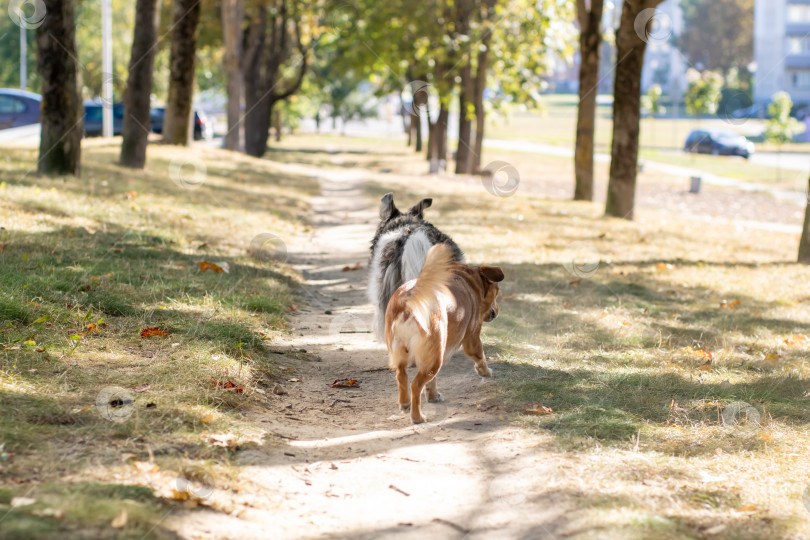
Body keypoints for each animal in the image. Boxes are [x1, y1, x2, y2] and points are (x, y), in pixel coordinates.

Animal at [384, 243, 502, 424]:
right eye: (497, 291)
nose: (497, 311)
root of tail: (408, 299)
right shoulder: (472, 337)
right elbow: (480, 356)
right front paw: (485, 372)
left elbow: (432, 382)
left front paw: (433, 395)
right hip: (435, 357)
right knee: (415, 385)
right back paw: (417, 417)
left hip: (405, 352)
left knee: (401, 376)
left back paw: (405, 403)